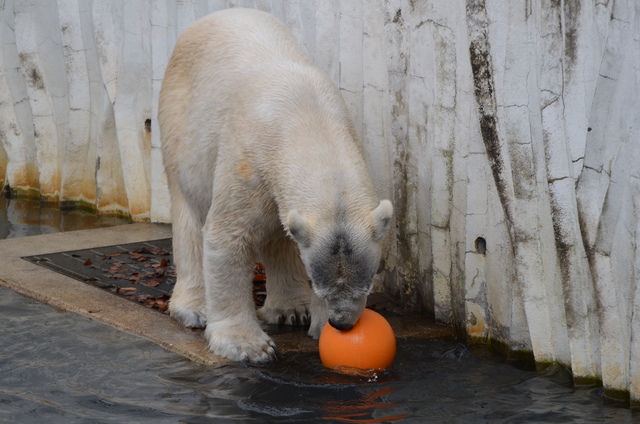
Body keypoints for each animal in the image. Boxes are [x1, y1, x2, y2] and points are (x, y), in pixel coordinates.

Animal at [158, 8, 392, 362]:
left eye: (366, 286)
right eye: (319, 285)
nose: (342, 324)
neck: (307, 118)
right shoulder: (247, 159)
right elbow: (227, 237)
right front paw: (248, 346)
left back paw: (291, 309)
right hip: (181, 126)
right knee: (190, 211)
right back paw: (194, 308)